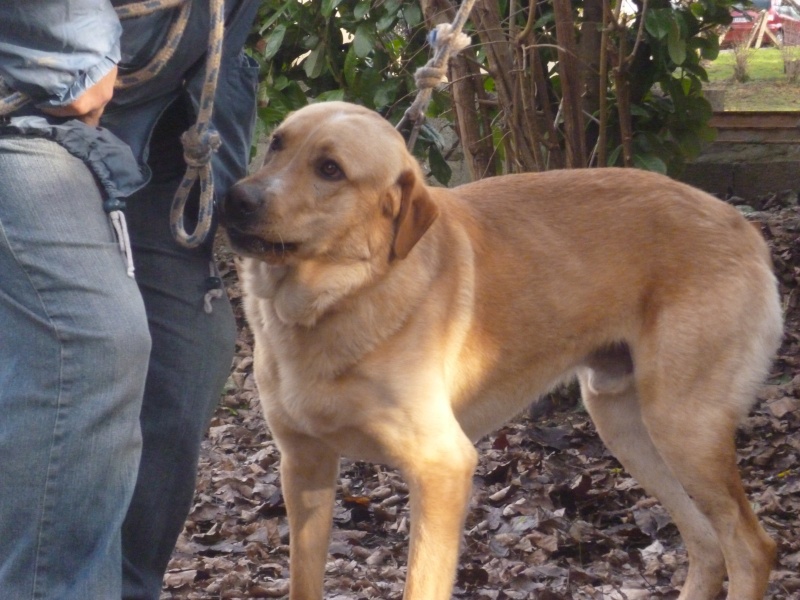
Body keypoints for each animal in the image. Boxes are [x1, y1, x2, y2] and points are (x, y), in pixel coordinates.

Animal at [222, 101, 784, 596]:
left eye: (330, 169)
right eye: (276, 144)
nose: (235, 198)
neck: (335, 299)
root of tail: (743, 226)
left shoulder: (443, 468)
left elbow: (422, 585)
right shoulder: (304, 467)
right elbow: (303, 583)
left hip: (682, 426)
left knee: (750, 548)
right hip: (624, 424)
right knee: (707, 542)